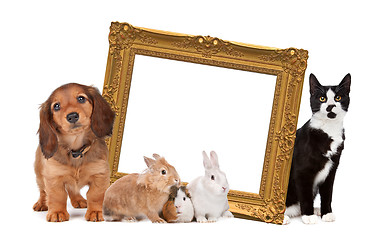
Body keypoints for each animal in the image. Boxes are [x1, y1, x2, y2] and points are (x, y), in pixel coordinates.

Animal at [32, 82, 115, 221]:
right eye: (56, 106)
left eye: (81, 98)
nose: (72, 116)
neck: (76, 151)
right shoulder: (54, 176)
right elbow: (57, 195)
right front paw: (57, 212)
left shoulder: (100, 174)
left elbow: (95, 194)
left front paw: (96, 211)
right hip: (39, 175)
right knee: (43, 191)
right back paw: (42, 203)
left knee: (72, 189)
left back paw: (78, 200)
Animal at [284, 73, 352, 225]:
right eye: (322, 98)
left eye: (338, 98)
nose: (330, 106)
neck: (328, 130)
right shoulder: (302, 172)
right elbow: (305, 194)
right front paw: (308, 215)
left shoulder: (332, 170)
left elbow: (327, 193)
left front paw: (326, 213)